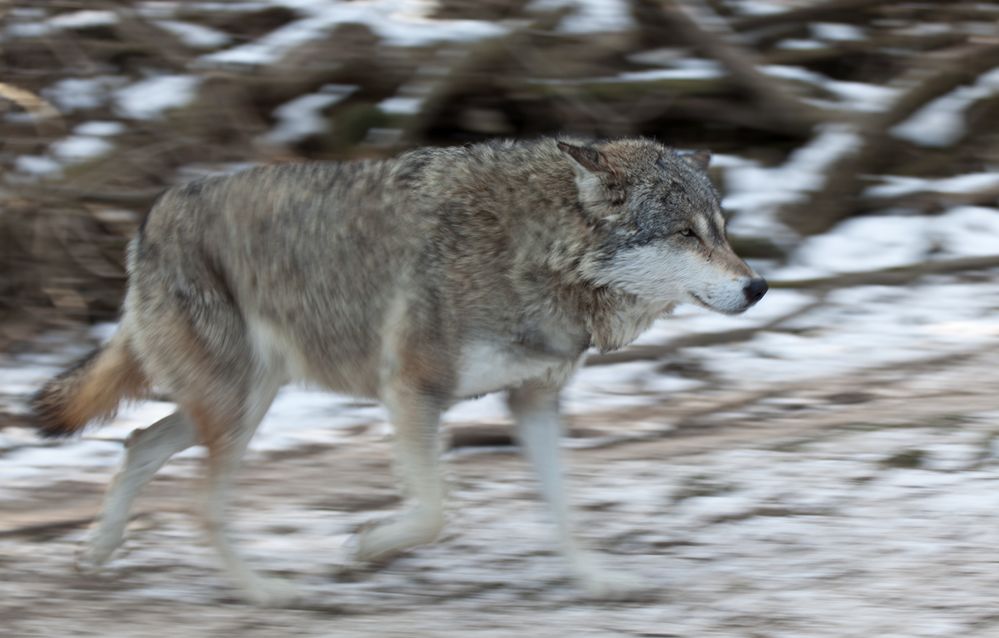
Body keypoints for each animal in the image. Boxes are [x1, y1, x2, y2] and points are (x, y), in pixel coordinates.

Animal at [29, 138, 764, 608]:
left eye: (722, 231)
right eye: (687, 234)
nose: (757, 286)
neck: (536, 251)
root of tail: (151, 215)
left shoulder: (532, 402)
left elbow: (563, 510)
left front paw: (596, 582)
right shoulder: (413, 391)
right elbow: (435, 511)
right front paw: (366, 547)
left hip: (241, 402)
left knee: (137, 443)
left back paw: (97, 553)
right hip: (236, 409)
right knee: (199, 504)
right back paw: (268, 593)